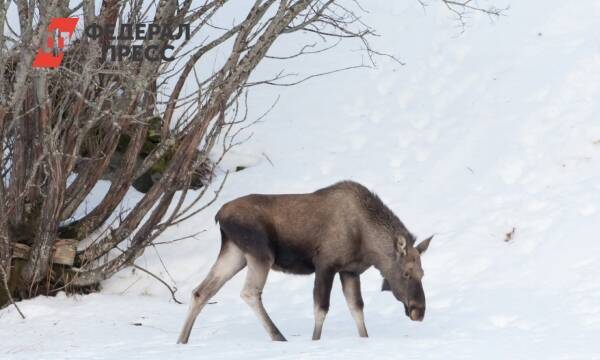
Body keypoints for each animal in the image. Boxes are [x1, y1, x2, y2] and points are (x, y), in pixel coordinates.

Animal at [177, 180, 432, 344]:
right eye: (406, 273)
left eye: (423, 273)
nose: (419, 311)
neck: (367, 241)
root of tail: (219, 215)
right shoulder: (325, 264)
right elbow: (321, 308)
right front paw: (315, 341)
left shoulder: (349, 271)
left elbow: (357, 308)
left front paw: (365, 339)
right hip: (261, 254)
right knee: (249, 292)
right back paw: (278, 336)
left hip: (236, 253)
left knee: (201, 291)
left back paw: (182, 340)